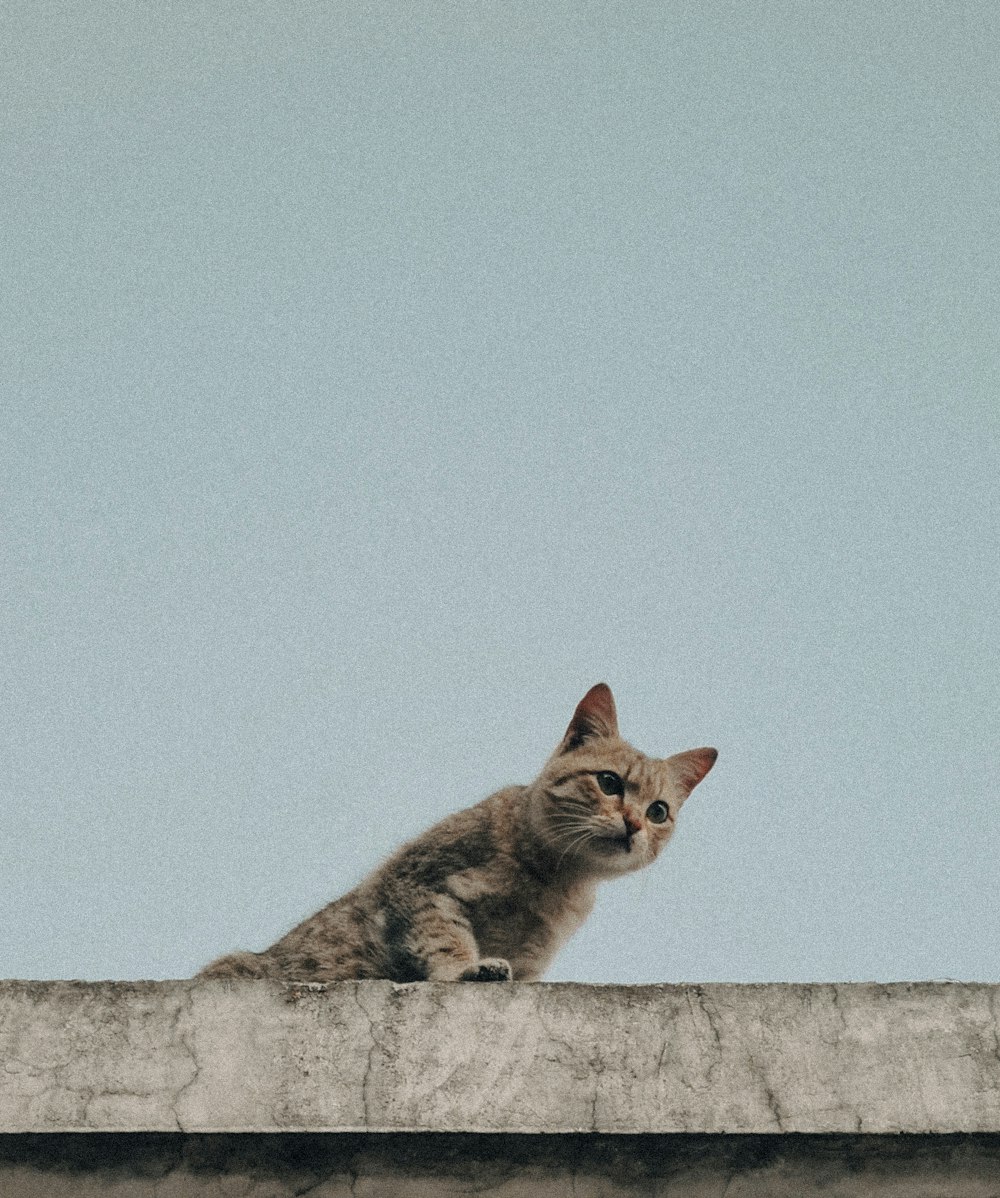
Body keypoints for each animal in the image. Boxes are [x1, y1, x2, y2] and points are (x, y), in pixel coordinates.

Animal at [200, 685, 713, 982]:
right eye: (609, 782)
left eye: (659, 811)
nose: (634, 824)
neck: (550, 880)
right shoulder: (418, 884)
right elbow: (442, 939)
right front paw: (466, 967)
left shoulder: (533, 960)